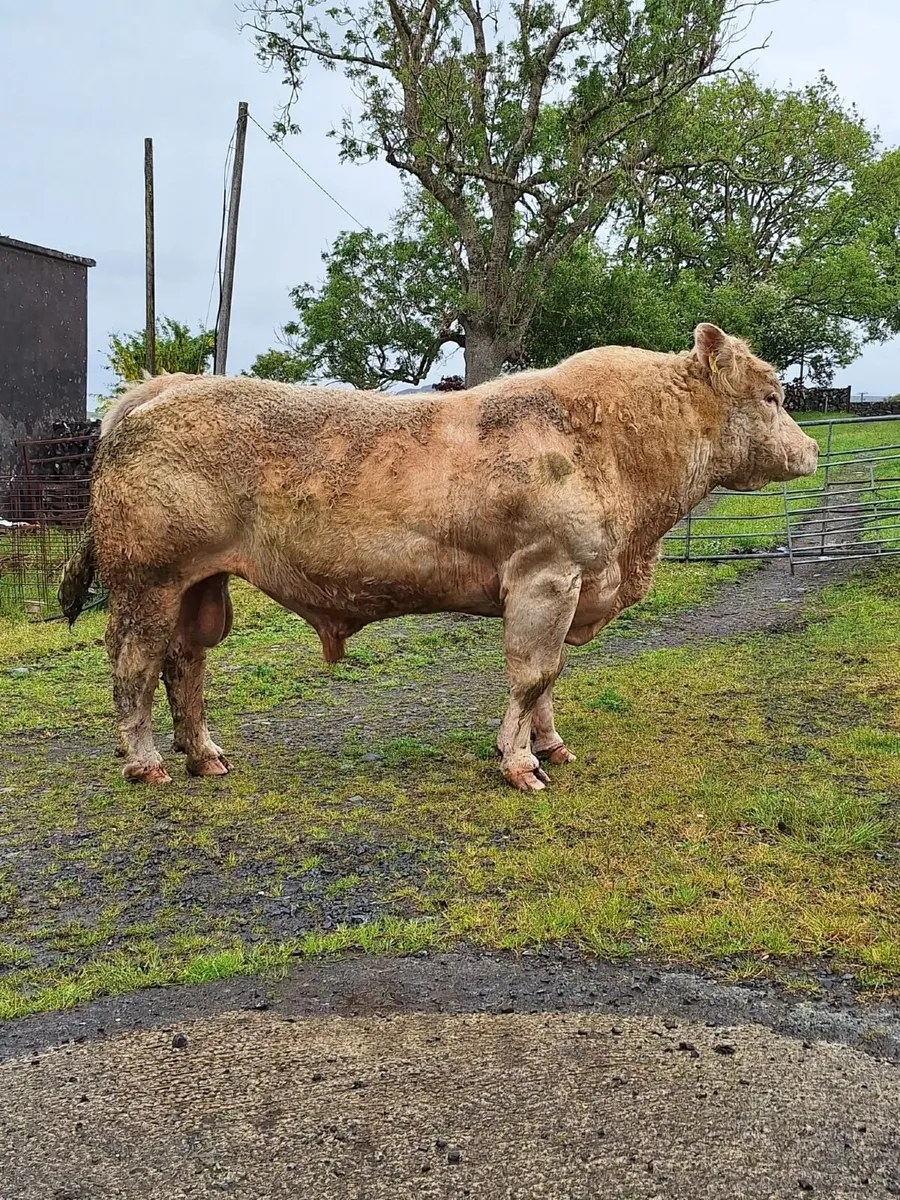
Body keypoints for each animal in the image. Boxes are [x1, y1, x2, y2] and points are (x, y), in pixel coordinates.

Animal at [60, 325, 818, 792]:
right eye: (773, 397)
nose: (810, 449)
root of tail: (163, 387)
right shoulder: (546, 575)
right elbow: (532, 674)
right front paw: (520, 763)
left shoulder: (571, 585)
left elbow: (551, 678)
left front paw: (551, 745)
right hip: (147, 580)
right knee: (133, 662)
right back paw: (146, 763)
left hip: (199, 584)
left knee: (185, 661)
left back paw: (205, 755)